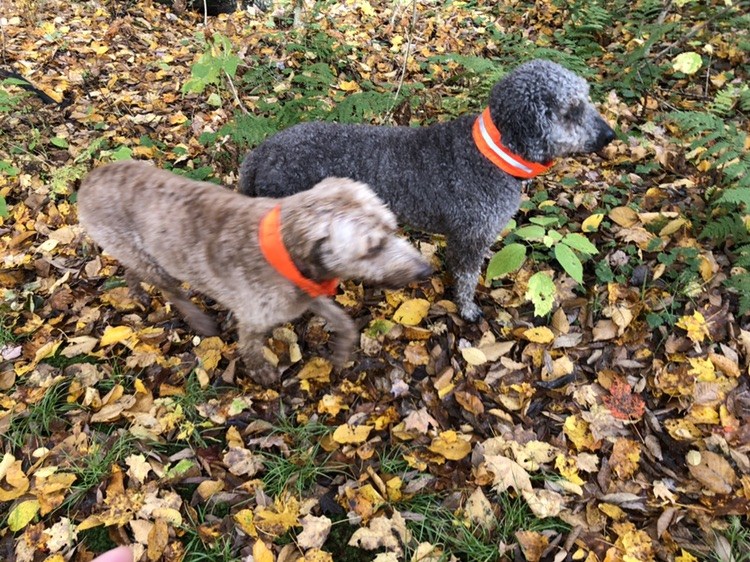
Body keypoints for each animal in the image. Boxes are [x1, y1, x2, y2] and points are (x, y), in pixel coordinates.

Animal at [78, 161, 432, 385]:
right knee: (173, 292)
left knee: (132, 271)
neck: (286, 251)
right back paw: (199, 321)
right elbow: (249, 347)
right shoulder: (253, 317)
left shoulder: (306, 294)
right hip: (152, 261)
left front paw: (342, 351)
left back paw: (136, 291)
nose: (426, 270)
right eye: (372, 247)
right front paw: (262, 372)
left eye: (392, 227)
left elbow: (343, 321)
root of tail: (89, 179)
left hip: (138, 255)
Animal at [238, 59, 616, 321]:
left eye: (586, 100)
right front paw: (467, 310)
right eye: (571, 110)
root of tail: (261, 152)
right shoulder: (470, 236)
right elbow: (466, 279)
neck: (493, 152)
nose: (610, 135)